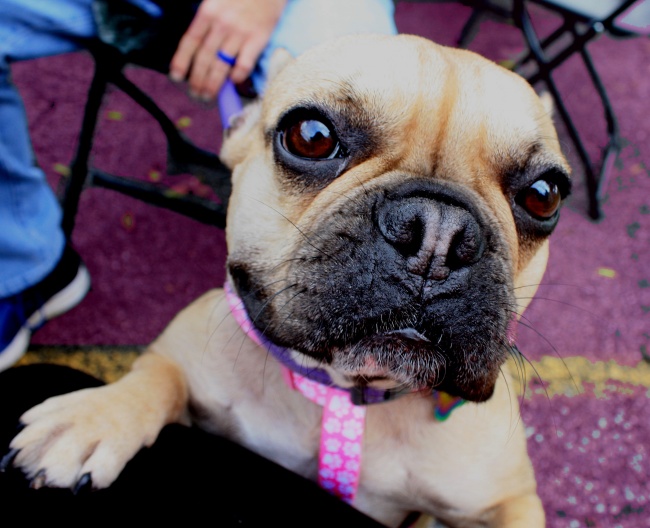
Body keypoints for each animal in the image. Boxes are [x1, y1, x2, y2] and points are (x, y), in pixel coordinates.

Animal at [5, 35, 568, 524]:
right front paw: (93, 416)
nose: (438, 234)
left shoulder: (509, 499)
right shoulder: (178, 354)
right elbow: (153, 378)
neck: (344, 392)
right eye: (311, 136)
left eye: (545, 195)